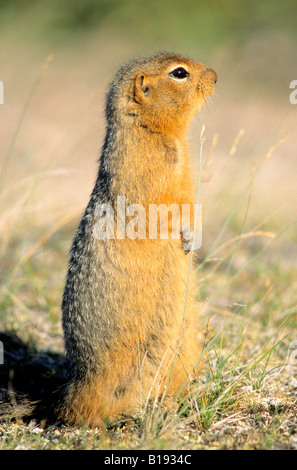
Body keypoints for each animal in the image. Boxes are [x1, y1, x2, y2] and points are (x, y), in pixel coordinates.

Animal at [60, 52, 217, 426]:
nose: (216, 75)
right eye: (179, 73)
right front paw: (186, 233)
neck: (152, 131)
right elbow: (162, 209)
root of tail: (74, 385)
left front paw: (194, 238)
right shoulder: (147, 174)